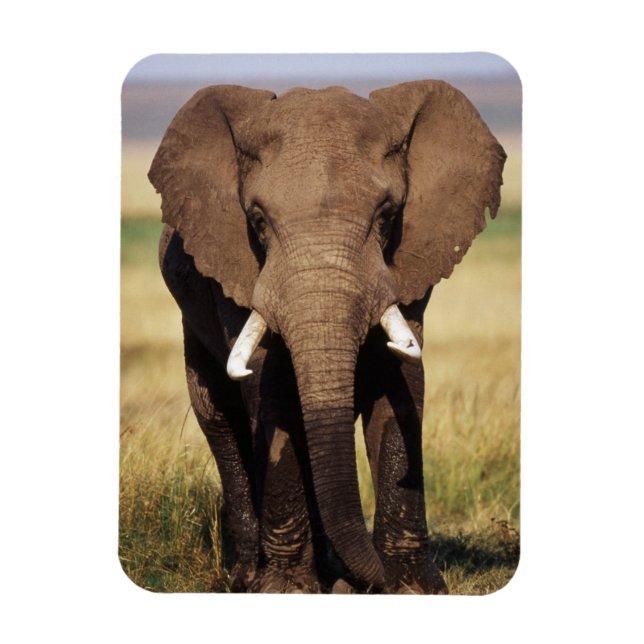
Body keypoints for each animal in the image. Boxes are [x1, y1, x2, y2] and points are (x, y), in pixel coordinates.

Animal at [148, 80, 506, 593]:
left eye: (386, 216)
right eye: (257, 220)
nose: (359, 583)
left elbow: (400, 385)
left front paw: (411, 588)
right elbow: (271, 393)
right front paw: (288, 590)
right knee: (218, 419)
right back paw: (249, 576)